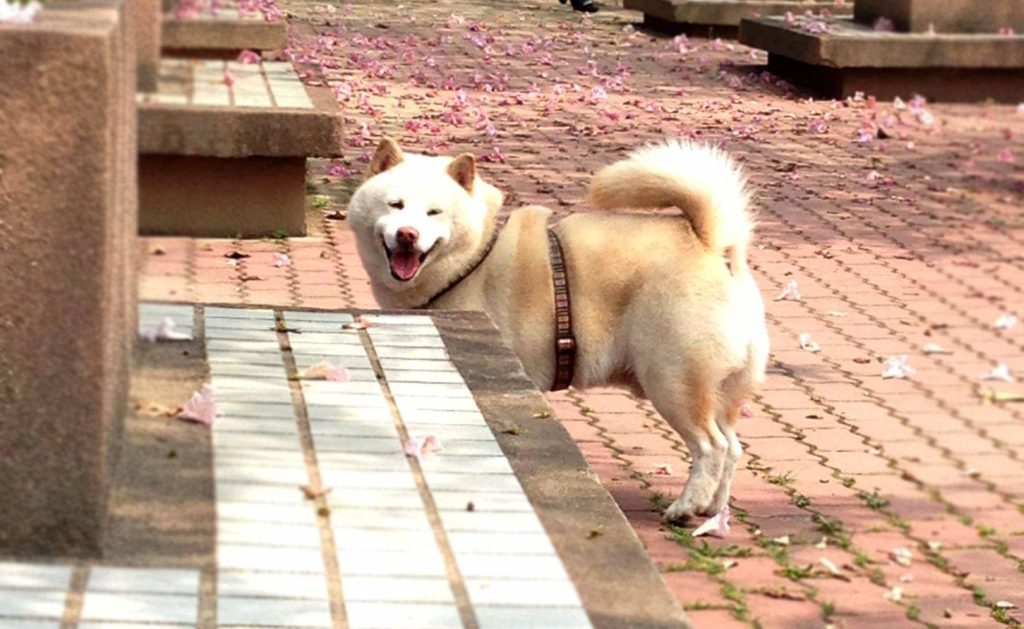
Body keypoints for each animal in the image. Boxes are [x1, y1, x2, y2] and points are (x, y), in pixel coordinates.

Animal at [346, 140, 770, 524]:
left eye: (434, 212)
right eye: (395, 205)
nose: (407, 234)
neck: (476, 257)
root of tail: (714, 246)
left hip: (673, 382)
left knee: (712, 447)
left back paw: (687, 507)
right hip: (717, 391)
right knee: (733, 448)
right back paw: (714, 509)